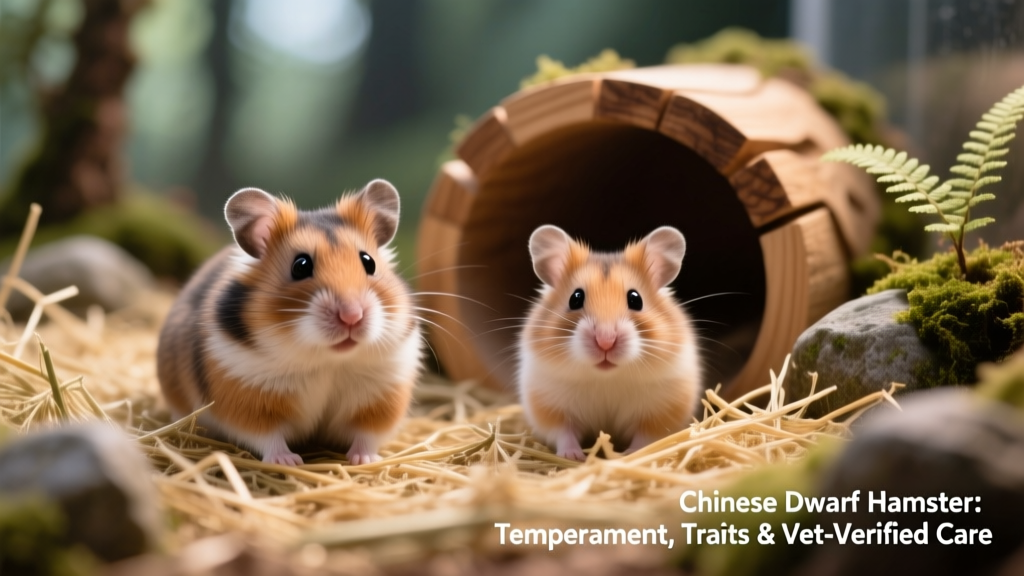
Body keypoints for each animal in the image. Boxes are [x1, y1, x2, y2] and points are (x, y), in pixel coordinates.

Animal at [156, 180, 422, 466]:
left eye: (368, 262)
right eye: (300, 266)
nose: (352, 316)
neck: (327, 361)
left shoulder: (380, 394)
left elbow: (366, 434)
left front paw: (365, 460)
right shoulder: (246, 397)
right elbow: (268, 436)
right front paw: (289, 461)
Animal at [517, 225, 702, 461]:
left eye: (636, 299)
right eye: (575, 298)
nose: (605, 342)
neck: (606, 377)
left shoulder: (661, 411)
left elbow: (645, 436)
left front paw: (632, 454)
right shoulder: (549, 406)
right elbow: (564, 432)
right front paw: (573, 457)